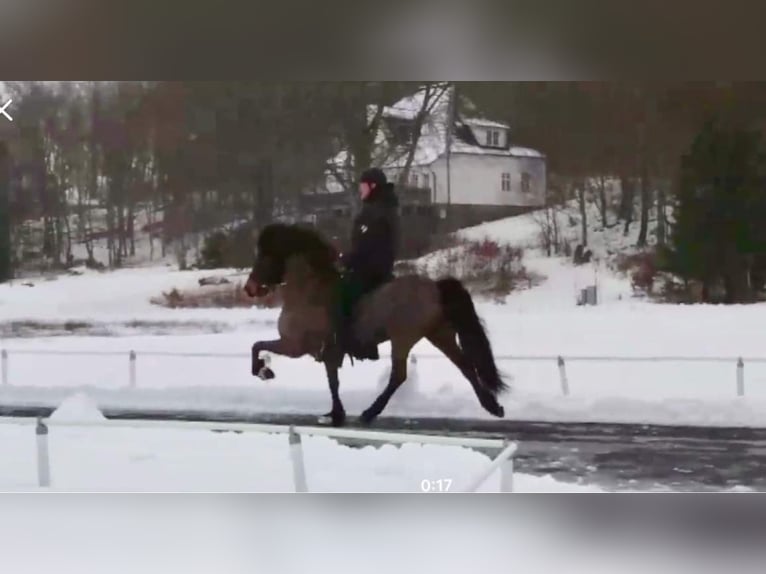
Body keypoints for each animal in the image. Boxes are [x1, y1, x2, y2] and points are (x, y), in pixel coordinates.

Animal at [246, 224, 510, 428]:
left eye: (265, 256)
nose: (249, 288)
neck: (308, 292)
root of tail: (435, 287)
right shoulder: (324, 352)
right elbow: (332, 380)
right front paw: (335, 413)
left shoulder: (295, 346)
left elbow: (257, 346)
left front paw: (263, 371)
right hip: (440, 334)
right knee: (465, 366)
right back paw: (493, 406)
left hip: (403, 338)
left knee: (399, 376)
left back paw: (370, 412)